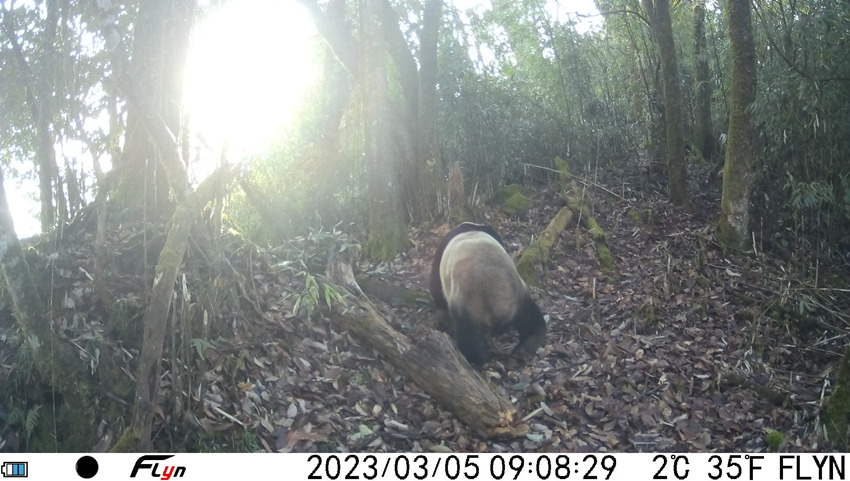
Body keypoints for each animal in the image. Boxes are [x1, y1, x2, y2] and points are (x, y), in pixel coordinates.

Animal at [428, 223, 548, 362]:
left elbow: (436, 285)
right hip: (519, 296)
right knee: (530, 317)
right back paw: (526, 345)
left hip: (467, 305)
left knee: (467, 335)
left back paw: (479, 356)